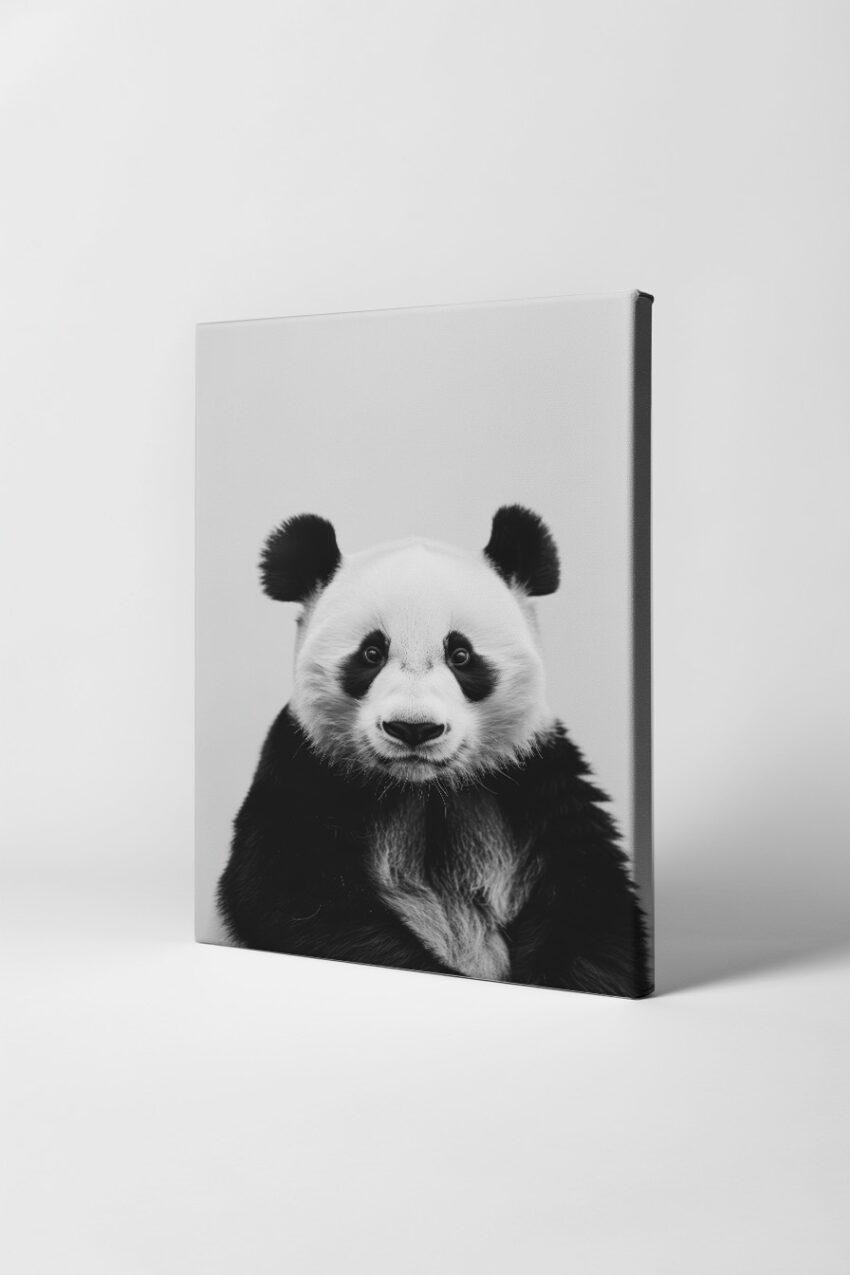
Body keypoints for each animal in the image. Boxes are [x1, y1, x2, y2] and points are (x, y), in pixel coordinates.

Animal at [217, 505, 651, 998]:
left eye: (461, 655)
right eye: (371, 653)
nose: (413, 728)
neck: (424, 791)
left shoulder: (534, 781)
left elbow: (589, 909)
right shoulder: (306, 769)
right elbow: (297, 898)